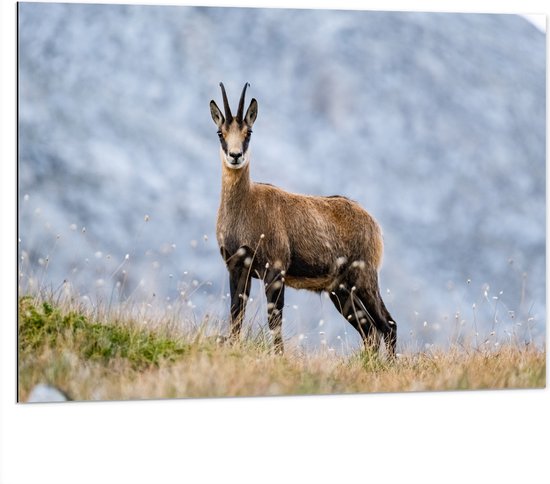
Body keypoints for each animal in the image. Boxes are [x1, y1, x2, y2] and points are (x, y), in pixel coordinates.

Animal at [210, 82, 396, 356]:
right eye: (220, 133)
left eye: (249, 131)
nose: (235, 156)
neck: (247, 208)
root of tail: (374, 224)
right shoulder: (237, 266)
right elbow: (236, 315)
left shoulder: (275, 269)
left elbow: (274, 320)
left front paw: (278, 356)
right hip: (340, 290)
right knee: (370, 330)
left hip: (364, 277)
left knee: (387, 324)